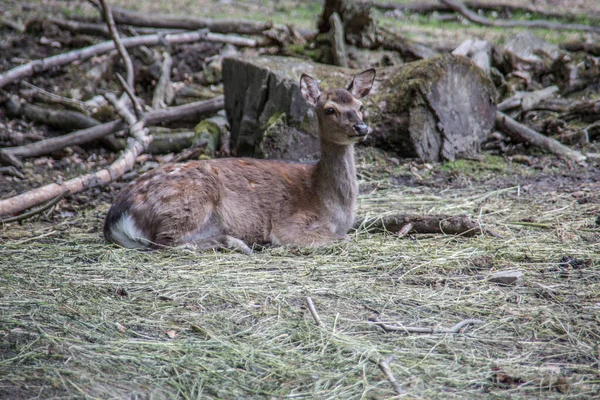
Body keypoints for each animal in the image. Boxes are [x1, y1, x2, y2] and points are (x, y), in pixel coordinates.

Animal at [103, 67, 376, 252]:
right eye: (330, 109)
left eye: (361, 106)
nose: (362, 128)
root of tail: (114, 218)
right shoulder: (289, 224)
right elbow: (343, 238)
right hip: (187, 202)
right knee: (165, 243)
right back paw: (238, 243)